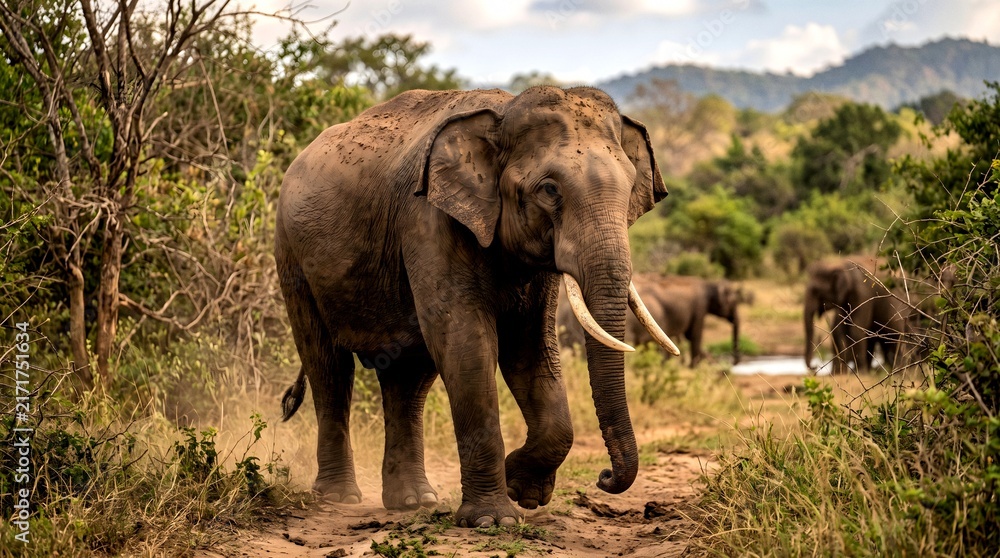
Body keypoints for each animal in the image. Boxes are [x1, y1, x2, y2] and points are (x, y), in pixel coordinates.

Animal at [275, 86, 680, 528]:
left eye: (630, 188)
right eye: (550, 190)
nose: (605, 477)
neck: (502, 113)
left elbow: (531, 348)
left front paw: (522, 490)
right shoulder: (430, 220)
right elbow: (466, 343)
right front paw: (493, 519)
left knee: (408, 377)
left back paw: (413, 501)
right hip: (292, 256)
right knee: (329, 367)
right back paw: (340, 498)